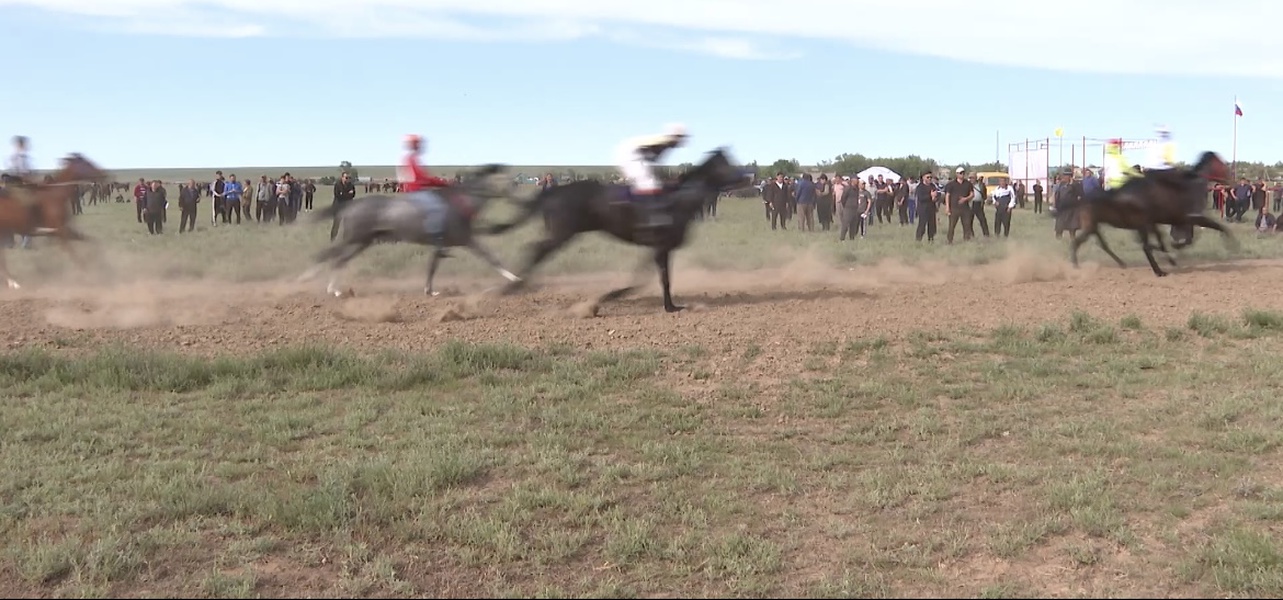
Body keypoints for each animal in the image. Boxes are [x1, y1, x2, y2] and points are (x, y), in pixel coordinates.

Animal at [0, 152, 109, 288]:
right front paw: (88, 273)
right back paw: (13, 282)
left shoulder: (61, 231)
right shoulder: (61, 232)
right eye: (86, 163)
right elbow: (73, 253)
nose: (104, 174)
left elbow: (89, 240)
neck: (56, 195)